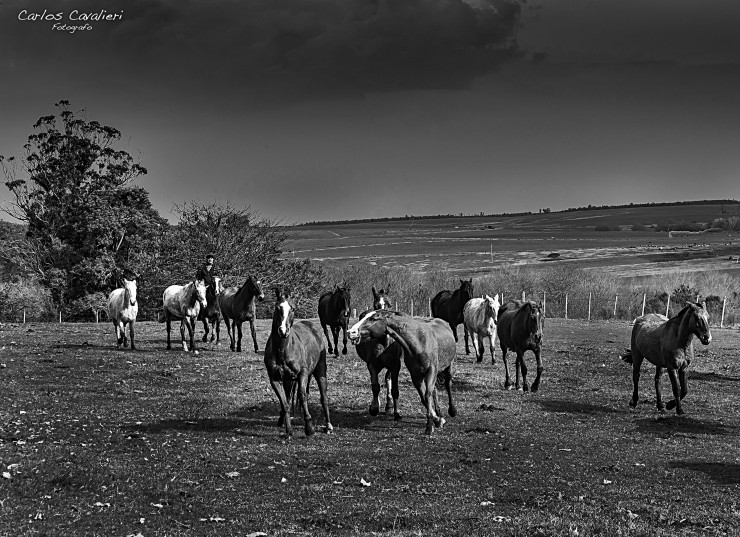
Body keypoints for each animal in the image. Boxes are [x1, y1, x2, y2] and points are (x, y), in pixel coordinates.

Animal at [264, 284, 332, 436]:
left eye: (292, 309)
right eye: (277, 307)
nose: (283, 331)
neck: (283, 350)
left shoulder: (303, 373)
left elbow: (302, 395)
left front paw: (309, 427)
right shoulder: (275, 379)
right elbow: (285, 402)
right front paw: (288, 430)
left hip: (320, 370)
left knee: (323, 397)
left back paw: (328, 426)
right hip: (288, 380)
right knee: (289, 397)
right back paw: (282, 420)